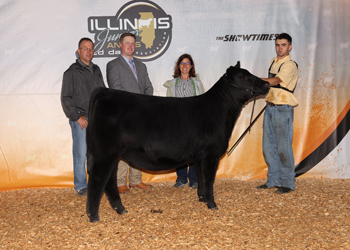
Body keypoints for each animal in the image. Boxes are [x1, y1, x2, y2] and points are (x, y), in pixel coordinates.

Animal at [86, 62, 270, 223]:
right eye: (243, 77)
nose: (268, 83)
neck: (221, 109)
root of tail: (104, 92)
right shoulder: (211, 153)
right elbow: (209, 179)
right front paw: (212, 204)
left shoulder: (200, 156)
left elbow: (201, 177)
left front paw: (202, 198)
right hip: (105, 152)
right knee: (98, 179)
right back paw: (94, 216)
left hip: (113, 154)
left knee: (109, 181)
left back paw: (120, 209)